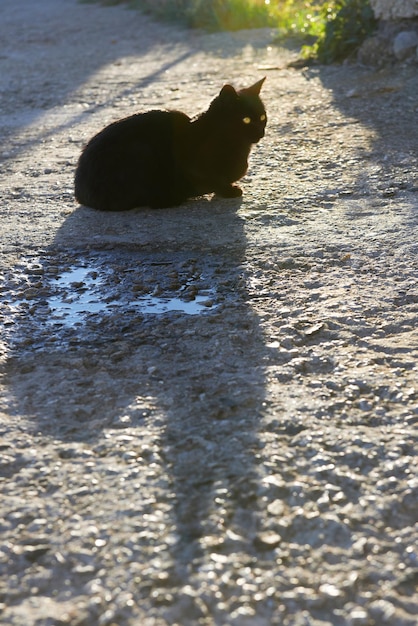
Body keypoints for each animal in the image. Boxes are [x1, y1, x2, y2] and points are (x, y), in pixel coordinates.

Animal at [74, 77, 266, 210]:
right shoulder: (191, 166)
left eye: (263, 117)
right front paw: (228, 190)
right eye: (246, 120)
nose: (261, 132)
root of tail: (79, 192)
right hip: (140, 152)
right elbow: (214, 180)